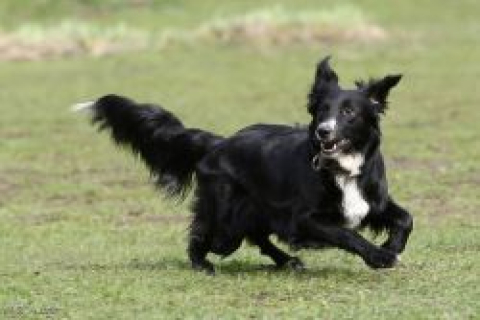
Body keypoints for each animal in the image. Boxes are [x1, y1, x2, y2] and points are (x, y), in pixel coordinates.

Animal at [74, 57, 412, 272]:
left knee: (256, 236)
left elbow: (406, 218)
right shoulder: (303, 218)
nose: (323, 131)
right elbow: (347, 234)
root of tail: (219, 143)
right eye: (321, 111)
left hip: (251, 212)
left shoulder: (372, 200)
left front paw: (391, 247)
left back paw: (287, 261)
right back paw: (201, 264)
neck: (341, 168)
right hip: (227, 220)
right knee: (205, 236)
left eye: (349, 113)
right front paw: (380, 257)